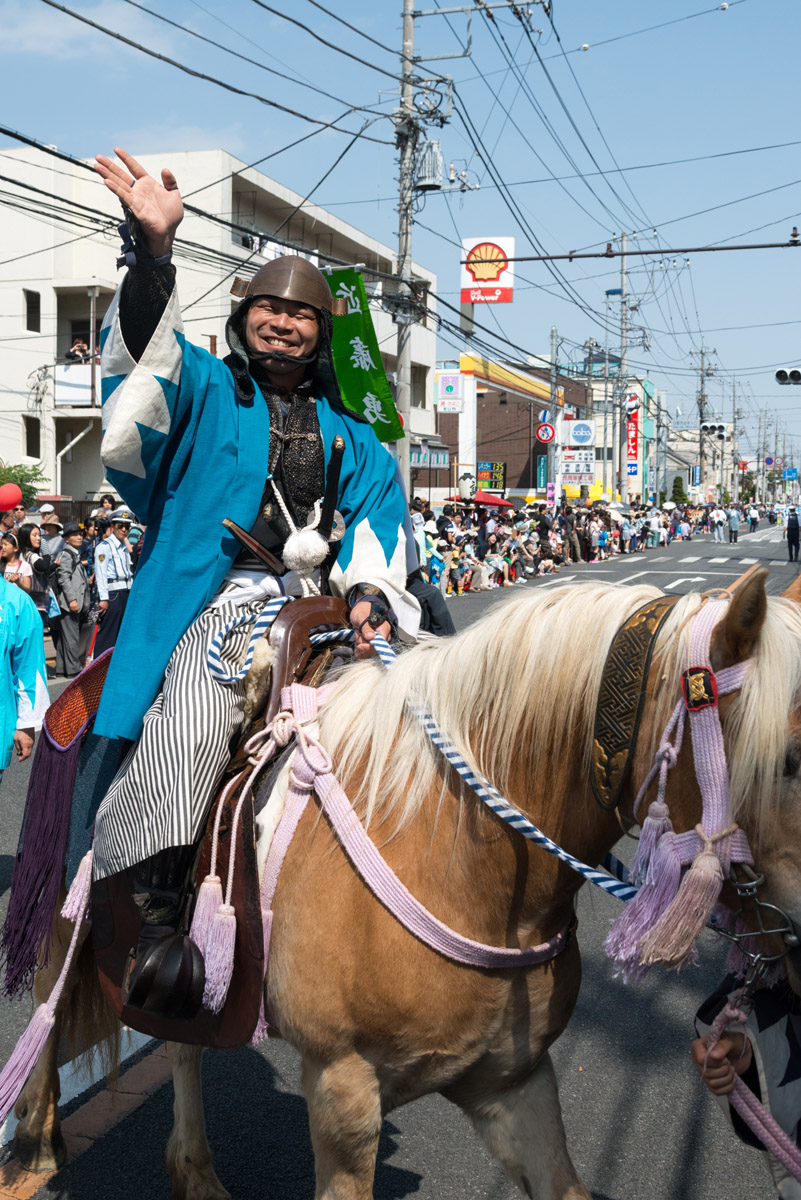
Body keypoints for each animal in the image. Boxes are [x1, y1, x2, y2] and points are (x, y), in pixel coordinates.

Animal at [12, 573, 801, 1200]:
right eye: (790, 758)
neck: (455, 849)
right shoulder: (342, 1093)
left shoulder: (514, 1081)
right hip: (71, 899)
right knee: (52, 996)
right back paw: (33, 1138)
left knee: (182, 1038)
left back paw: (195, 1172)